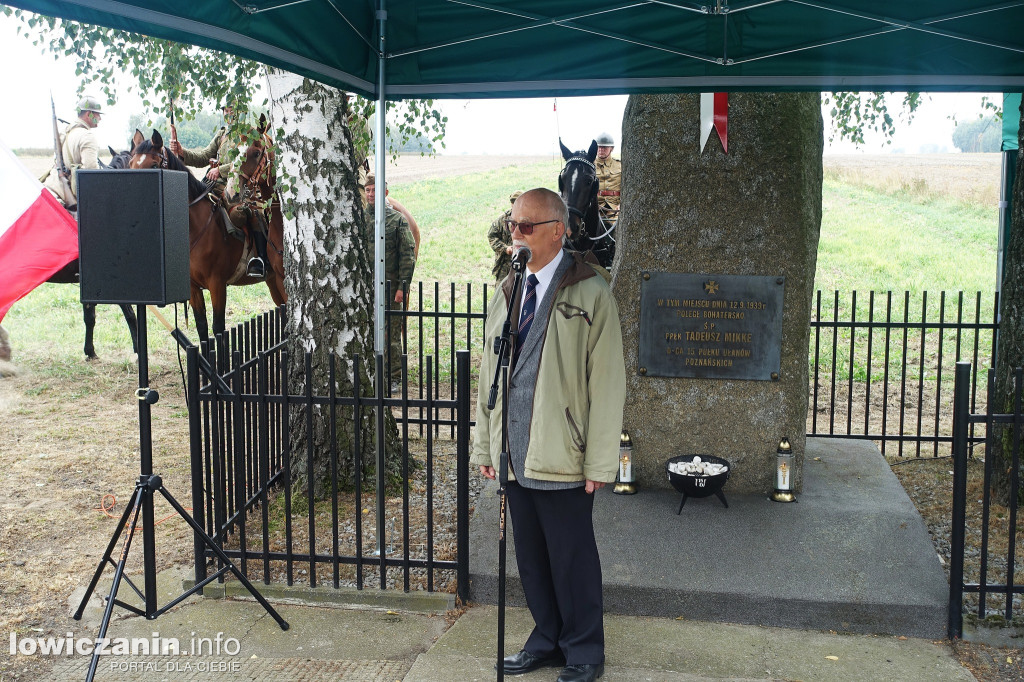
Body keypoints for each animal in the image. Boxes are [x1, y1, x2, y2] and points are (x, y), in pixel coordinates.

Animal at [130, 129, 288, 342]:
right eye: (131, 164)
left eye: (154, 165)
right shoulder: (192, 288)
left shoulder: (217, 285)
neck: (195, 228)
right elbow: (202, 327)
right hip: (272, 281)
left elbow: (218, 327)